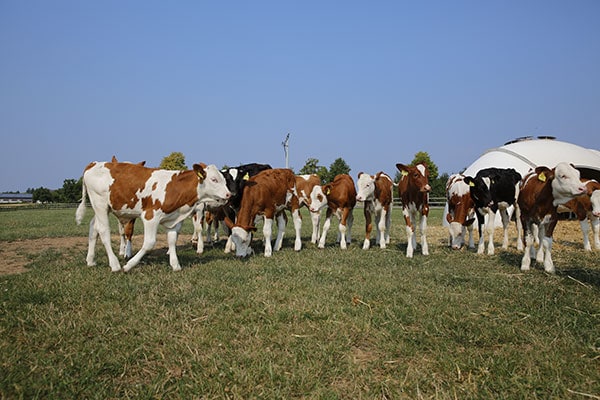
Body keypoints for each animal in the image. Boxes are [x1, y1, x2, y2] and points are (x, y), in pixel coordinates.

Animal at [76, 162, 231, 272]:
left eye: (224, 180)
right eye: (214, 179)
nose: (229, 194)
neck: (174, 188)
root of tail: (94, 163)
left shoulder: (172, 219)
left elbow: (172, 240)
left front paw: (175, 264)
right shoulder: (150, 216)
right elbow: (149, 243)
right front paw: (129, 265)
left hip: (102, 208)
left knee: (93, 228)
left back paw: (91, 260)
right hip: (100, 204)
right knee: (103, 231)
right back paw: (115, 265)